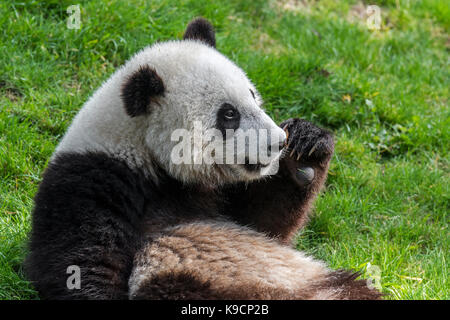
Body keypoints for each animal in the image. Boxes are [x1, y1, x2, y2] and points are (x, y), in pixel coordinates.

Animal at [25, 18, 380, 300]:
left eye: (252, 95)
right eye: (229, 114)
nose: (277, 143)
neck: (147, 156)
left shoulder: (220, 197)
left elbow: (267, 224)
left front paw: (306, 147)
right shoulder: (94, 180)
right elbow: (82, 263)